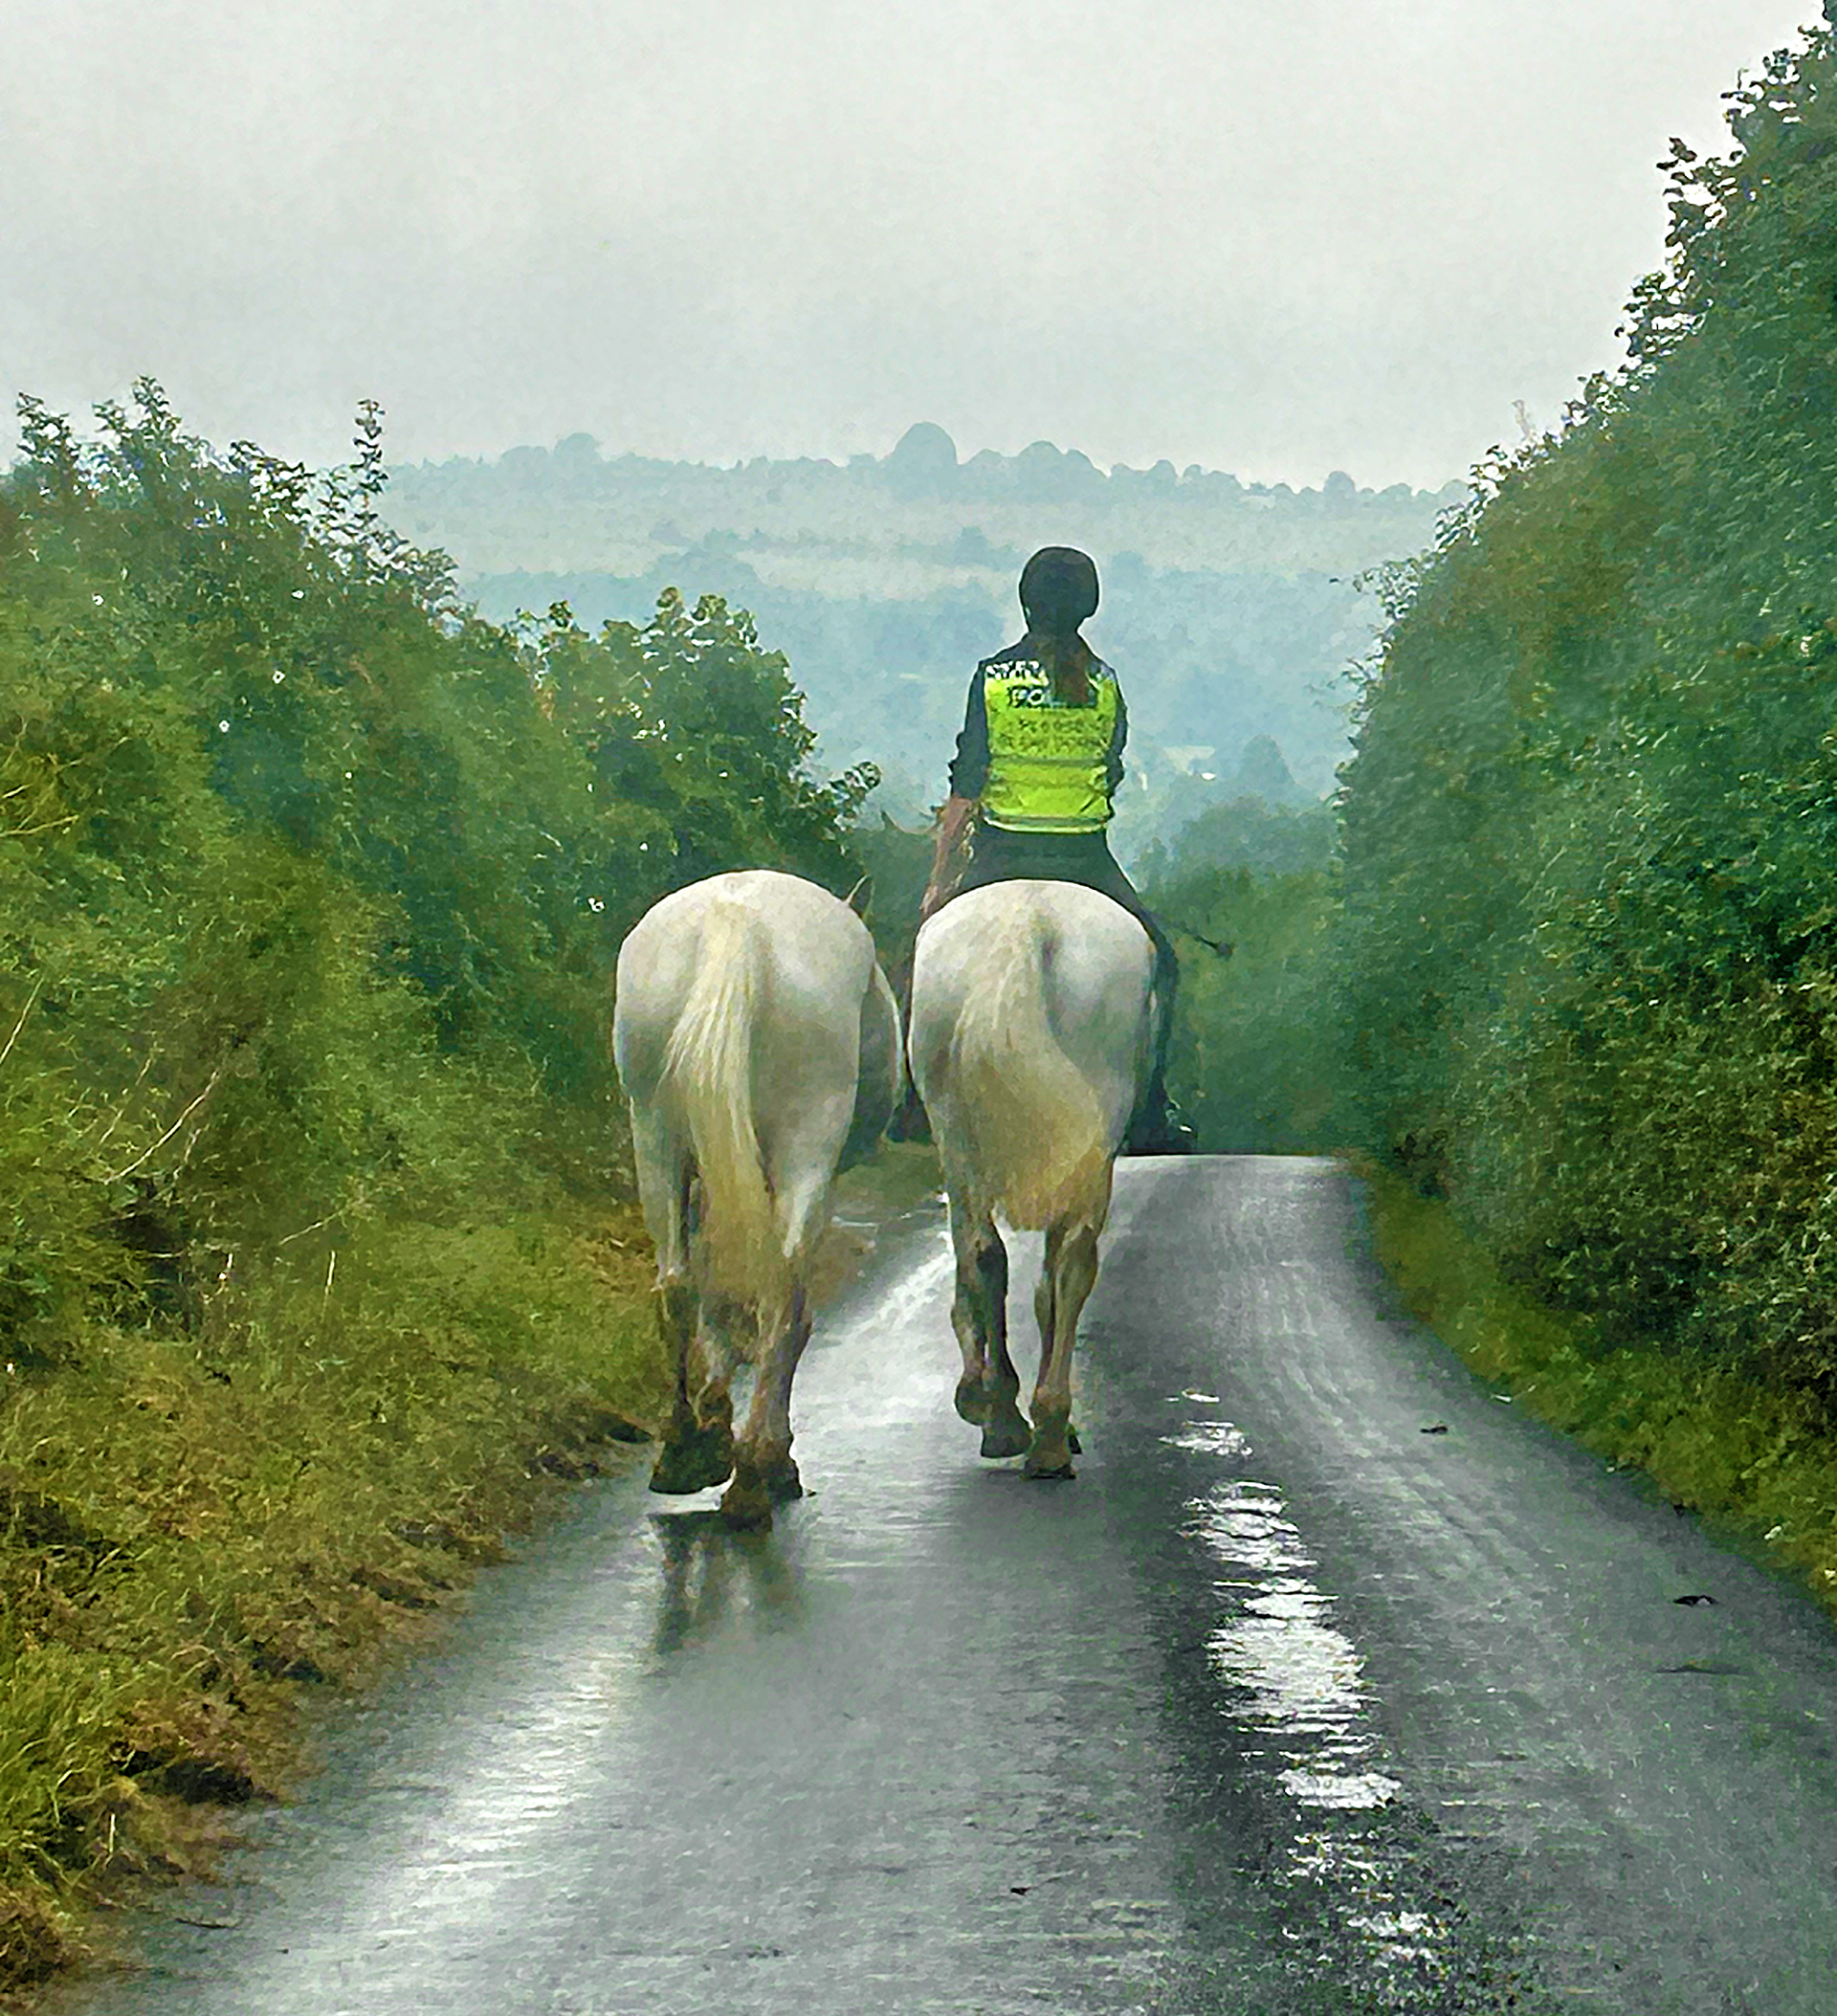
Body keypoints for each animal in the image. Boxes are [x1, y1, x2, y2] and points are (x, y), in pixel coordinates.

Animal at [616, 867, 903, 1523]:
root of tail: (737, 920)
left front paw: (715, 1415)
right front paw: (769, 1454)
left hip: (655, 1133)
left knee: (677, 1285)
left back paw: (685, 1450)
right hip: (806, 1143)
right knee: (781, 1296)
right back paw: (755, 1474)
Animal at [911, 882, 1153, 1483]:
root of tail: (1029, 920)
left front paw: (978, 1396)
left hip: (957, 1134)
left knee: (985, 1253)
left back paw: (1004, 1415)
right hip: (1094, 1131)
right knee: (1070, 1263)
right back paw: (1047, 1435)